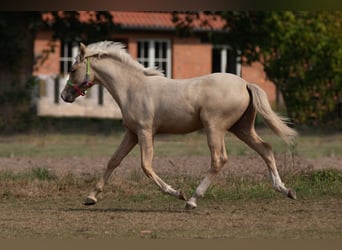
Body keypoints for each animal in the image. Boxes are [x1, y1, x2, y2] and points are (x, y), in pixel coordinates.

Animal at [60, 41, 296, 209]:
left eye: (72, 69)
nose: (64, 96)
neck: (133, 88)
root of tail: (245, 83)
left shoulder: (145, 132)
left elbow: (146, 166)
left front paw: (176, 192)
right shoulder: (132, 133)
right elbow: (113, 161)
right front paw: (90, 197)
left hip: (215, 128)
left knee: (219, 159)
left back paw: (192, 200)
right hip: (242, 128)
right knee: (266, 149)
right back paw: (285, 189)